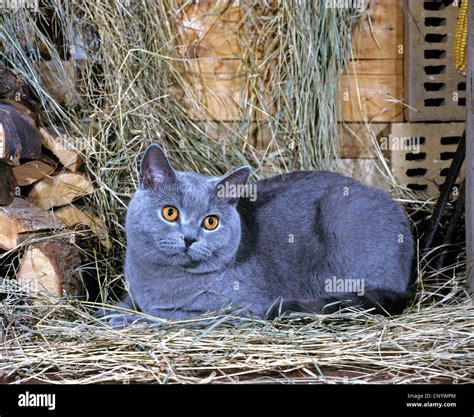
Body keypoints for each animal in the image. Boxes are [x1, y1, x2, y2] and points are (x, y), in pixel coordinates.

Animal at [110, 145, 412, 324]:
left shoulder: (237, 309)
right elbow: (128, 303)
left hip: (341, 208)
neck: (158, 277)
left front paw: (127, 319)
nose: (189, 238)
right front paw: (111, 311)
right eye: (170, 213)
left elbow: (170, 316)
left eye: (211, 222)